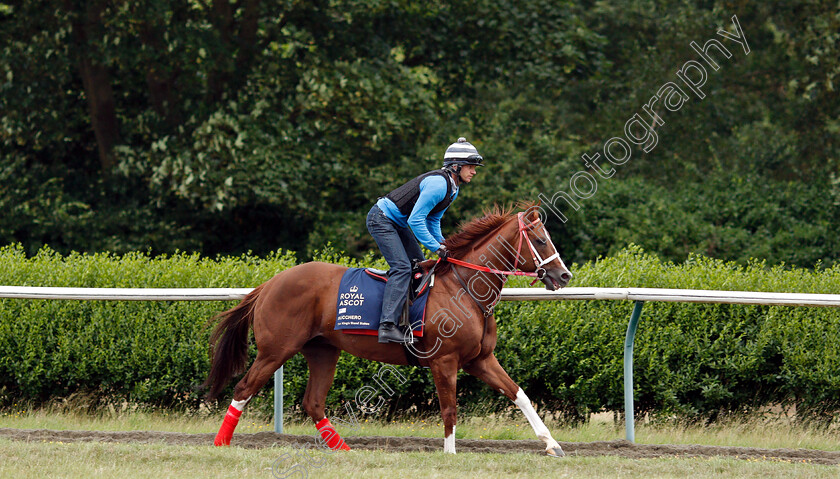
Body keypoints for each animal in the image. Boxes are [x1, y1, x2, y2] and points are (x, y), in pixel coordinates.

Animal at [201, 203, 576, 458]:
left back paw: (344, 449)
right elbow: (449, 407)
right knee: (244, 388)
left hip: (322, 350)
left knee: (313, 402)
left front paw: (552, 445)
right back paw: (220, 443)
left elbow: (519, 394)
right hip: (276, 350)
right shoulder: (444, 361)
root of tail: (270, 283)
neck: (465, 288)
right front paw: (451, 454)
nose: (564, 275)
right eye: (541, 240)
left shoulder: (480, 360)